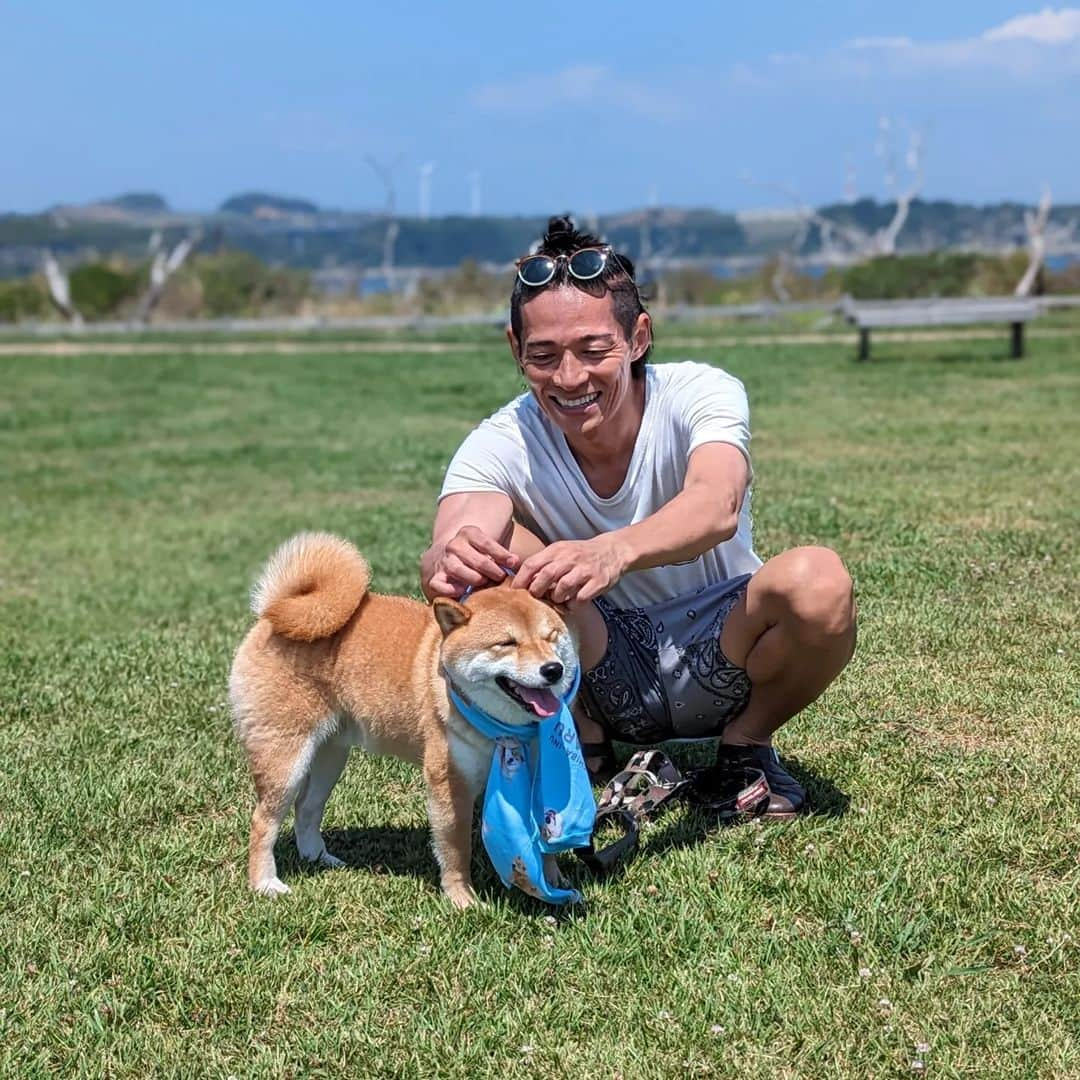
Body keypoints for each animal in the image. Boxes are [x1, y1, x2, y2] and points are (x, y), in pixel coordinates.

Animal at [230, 535, 583, 907]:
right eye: (506, 643)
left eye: (551, 637)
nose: (553, 669)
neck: (505, 731)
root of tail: (271, 615)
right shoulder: (449, 782)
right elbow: (456, 848)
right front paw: (462, 899)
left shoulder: (538, 771)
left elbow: (544, 839)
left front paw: (553, 880)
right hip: (286, 760)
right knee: (263, 820)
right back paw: (265, 883)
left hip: (330, 756)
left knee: (307, 808)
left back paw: (319, 858)